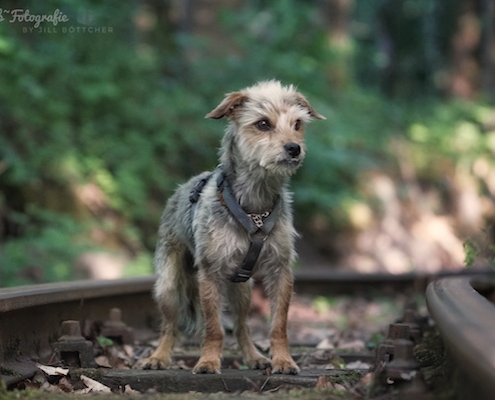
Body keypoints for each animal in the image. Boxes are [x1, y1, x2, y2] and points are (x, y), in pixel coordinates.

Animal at [142, 80, 326, 376]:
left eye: (297, 124)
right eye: (263, 124)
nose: (294, 148)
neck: (255, 204)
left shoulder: (280, 271)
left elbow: (278, 325)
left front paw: (283, 361)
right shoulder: (210, 273)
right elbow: (214, 328)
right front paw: (208, 362)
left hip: (243, 291)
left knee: (241, 326)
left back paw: (254, 357)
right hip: (169, 286)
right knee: (169, 326)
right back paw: (158, 357)